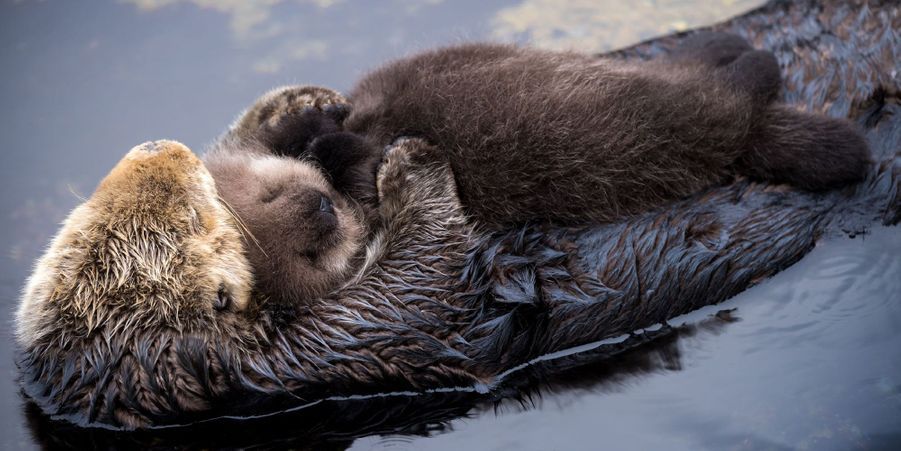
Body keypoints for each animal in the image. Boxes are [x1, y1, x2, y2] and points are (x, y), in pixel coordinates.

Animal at [207, 34, 868, 308]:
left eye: (273, 192)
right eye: (312, 254)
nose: (319, 206)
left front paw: (309, 111)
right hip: (650, 127)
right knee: (722, 104)